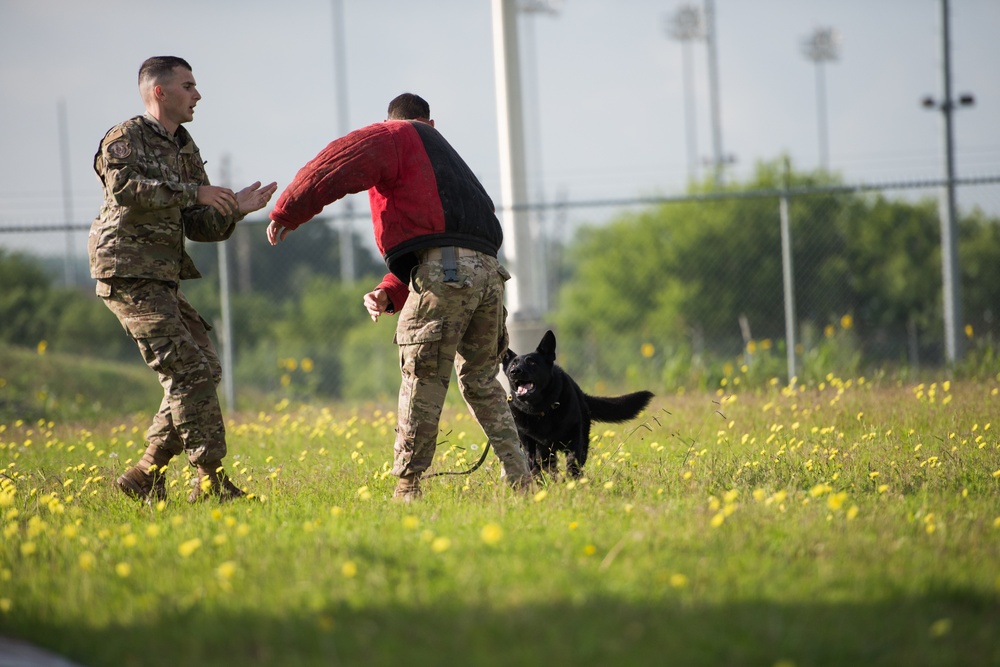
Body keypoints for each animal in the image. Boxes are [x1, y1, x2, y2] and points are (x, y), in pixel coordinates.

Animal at [500, 330, 656, 478]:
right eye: (513, 364)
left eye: (532, 362)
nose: (514, 371)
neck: (540, 411)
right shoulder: (529, 442)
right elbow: (534, 464)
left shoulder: (574, 438)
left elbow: (572, 461)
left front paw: (572, 480)